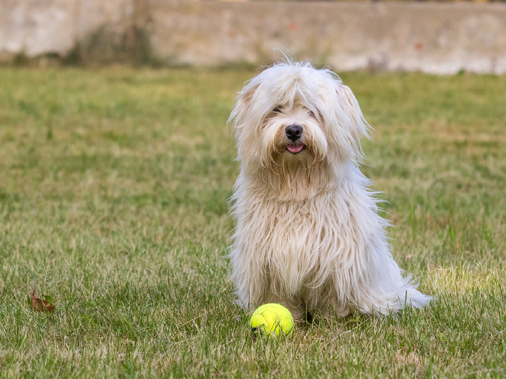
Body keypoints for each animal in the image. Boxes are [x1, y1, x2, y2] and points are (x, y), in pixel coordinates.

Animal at [229, 60, 430, 322]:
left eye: (312, 111)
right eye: (277, 109)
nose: (293, 130)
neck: (297, 184)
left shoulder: (337, 257)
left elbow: (332, 295)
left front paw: (332, 317)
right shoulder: (266, 260)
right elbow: (278, 296)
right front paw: (290, 314)